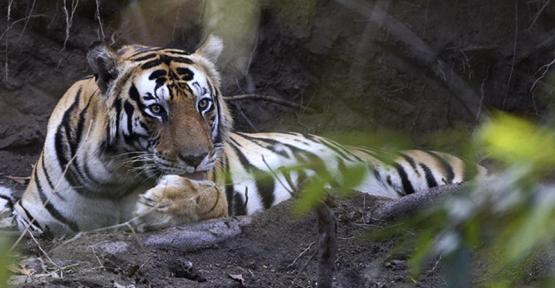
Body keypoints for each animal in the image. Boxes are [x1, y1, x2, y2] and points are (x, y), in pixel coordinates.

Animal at [0, 35, 486, 235]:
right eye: (156, 109)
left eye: (202, 104)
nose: (197, 157)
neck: (113, 178)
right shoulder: (30, 221)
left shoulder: (217, 187)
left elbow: (203, 197)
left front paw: (160, 204)